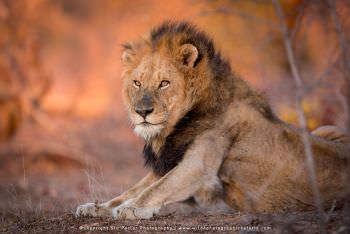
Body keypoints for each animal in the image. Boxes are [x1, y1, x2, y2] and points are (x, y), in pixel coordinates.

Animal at [76, 21, 350, 219]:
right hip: (328, 127)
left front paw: (131, 208)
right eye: (137, 82)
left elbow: (157, 188)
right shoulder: (170, 160)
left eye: (164, 83)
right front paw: (97, 206)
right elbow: (131, 189)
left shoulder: (198, 165)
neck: (176, 126)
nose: (142, 111)